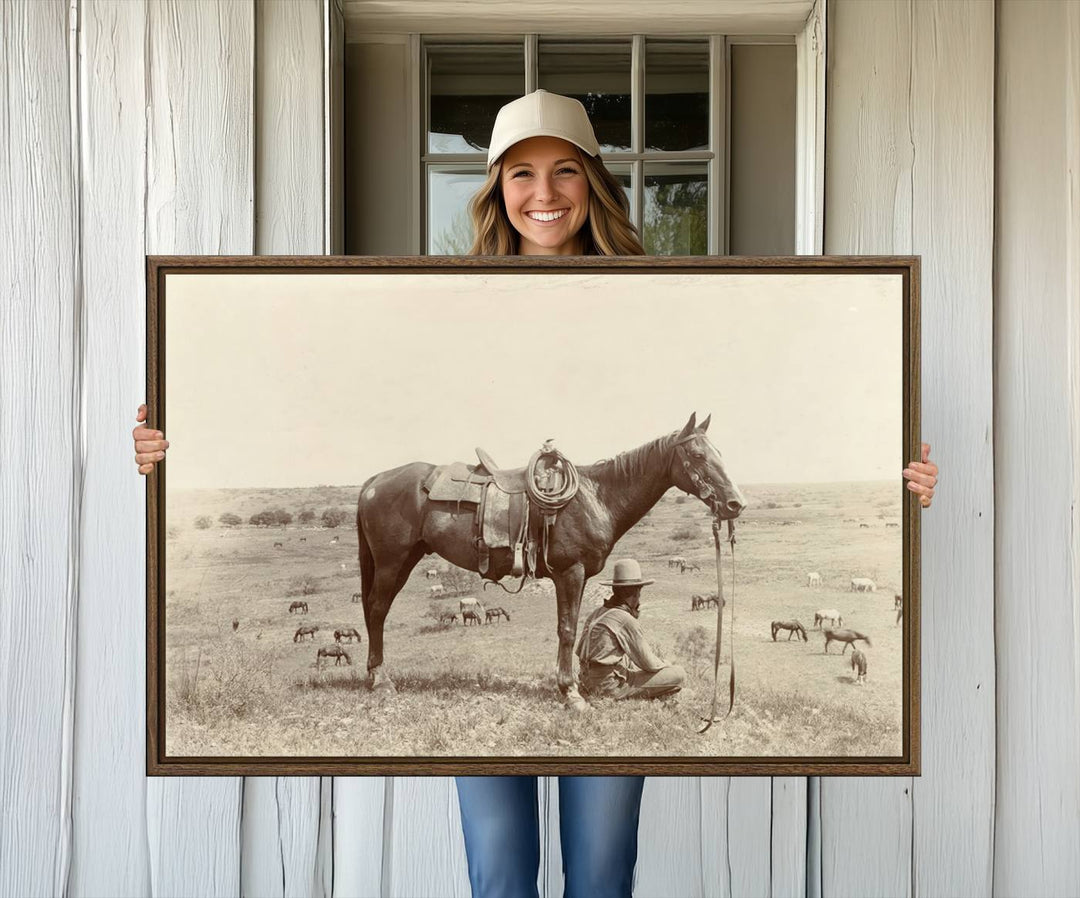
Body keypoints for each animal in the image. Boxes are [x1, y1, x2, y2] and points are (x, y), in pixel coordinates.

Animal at [354, 414, 743, 708]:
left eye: (719, 452)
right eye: (697, 455)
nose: (735, 504)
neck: (596, 497)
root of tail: (374, 481)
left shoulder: (579, 576)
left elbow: (573, 625)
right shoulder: (570, 573)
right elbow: (567, 630)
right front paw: (570, 693)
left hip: (405, 561)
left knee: (375, 610)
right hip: (391, 562)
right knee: (377, 610)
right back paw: (381, 680)